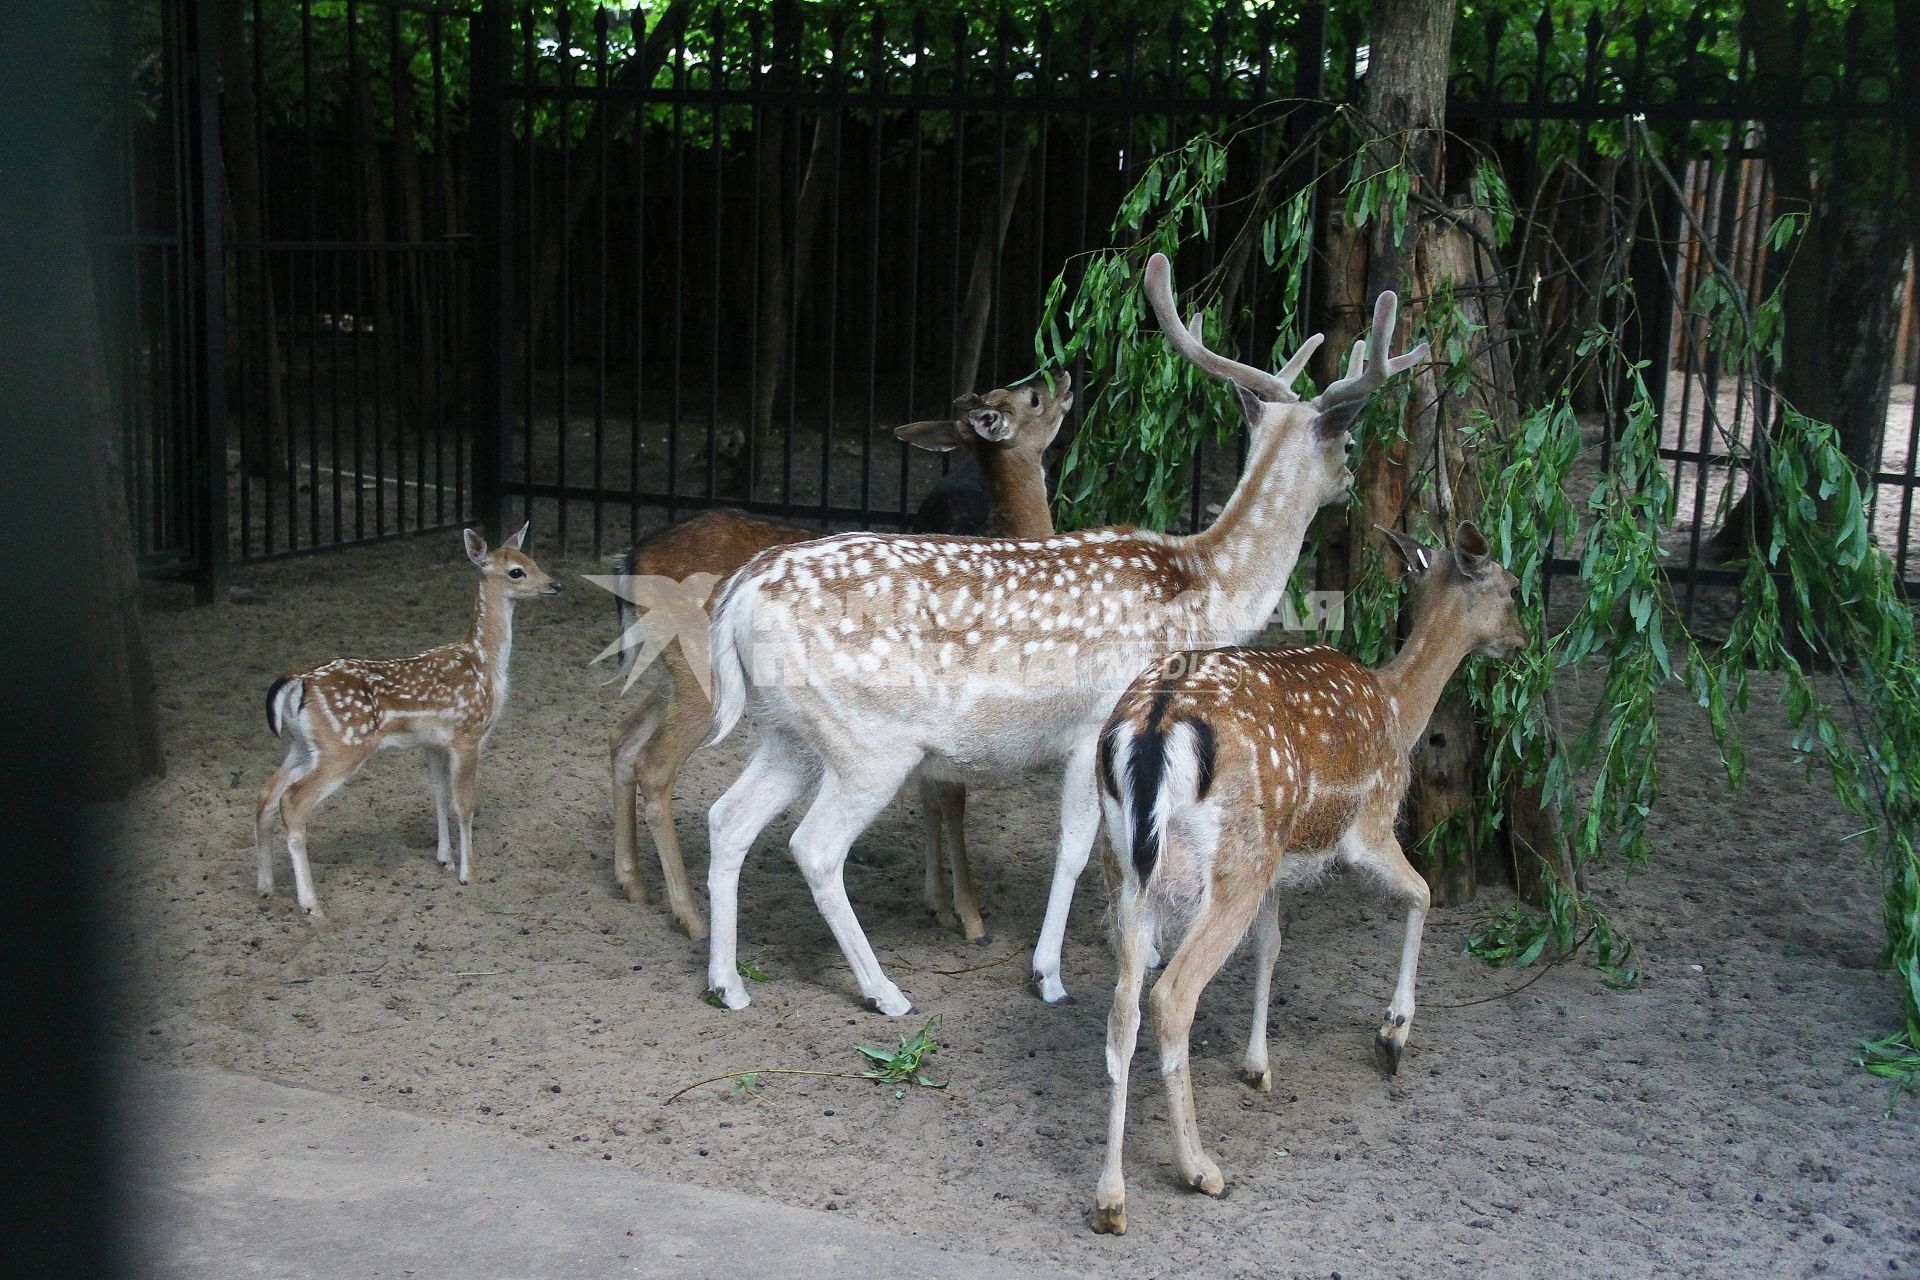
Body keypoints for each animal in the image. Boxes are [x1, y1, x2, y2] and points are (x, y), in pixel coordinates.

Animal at [255, 521, 560, 921]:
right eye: (516, 571)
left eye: (532, 559)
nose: (555, 584)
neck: (485, 662)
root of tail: (295, 682)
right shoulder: (468, 734)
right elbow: (465, 803)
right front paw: (469, 874)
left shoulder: (433, 742)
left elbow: (439, 794)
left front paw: (445, 859)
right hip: (345, 744)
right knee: (292, 800)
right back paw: (311, 905)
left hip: (303, 746)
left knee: (265, 794)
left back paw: (265, 887)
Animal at [606, 372, 1075, 940]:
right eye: (1033, 396)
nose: (1065, 378)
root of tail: (630, 560)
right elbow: (951, 798)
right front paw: (969, 914)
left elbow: (933, 796)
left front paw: (938, 903)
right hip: (699, 678)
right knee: (654, 766)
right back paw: (690, 915)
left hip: (663, 671)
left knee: (622, 739)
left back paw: (631, 883)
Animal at [702, 257, 1428, 1020]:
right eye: (1348, 440)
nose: (1349, 482)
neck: (1207, 587)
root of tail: (739, 594)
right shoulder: (1094, 728)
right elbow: (1079, 848)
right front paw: (1049, 973)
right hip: (867, 741)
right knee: (813, 846)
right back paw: (885, 992)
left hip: (789, 730)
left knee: (727, 818)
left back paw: (728, 984)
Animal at [1090, 525, 1520, 1235]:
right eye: (1512, 586)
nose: (1524, 638)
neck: (1398, 707)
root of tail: (1153, 725)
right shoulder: (1367, 825)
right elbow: (1422, 895)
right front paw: (1392, 1037)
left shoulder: (1278, 866)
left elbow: (1272, 948)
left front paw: (1257, 1067)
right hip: (1230, 865)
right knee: (1172, 997)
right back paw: (1200, 1169)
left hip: (1128, 871)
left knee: (1124, 1005)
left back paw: (1110, 1198)